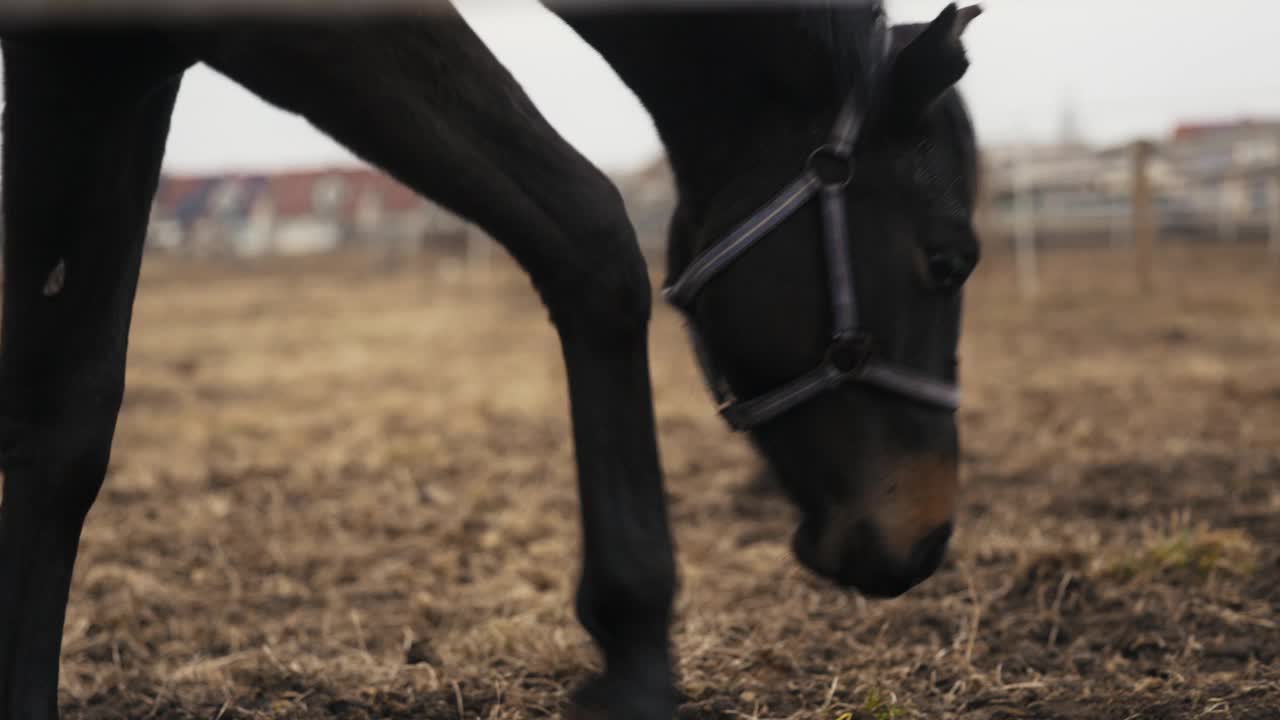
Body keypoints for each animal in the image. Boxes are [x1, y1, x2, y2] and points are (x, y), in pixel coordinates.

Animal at [0, 2, 977, 712]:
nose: (929, 536)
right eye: (948, 260)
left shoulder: (105, 60)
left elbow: (65, 425)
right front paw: (634, 654)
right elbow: (592, 233)